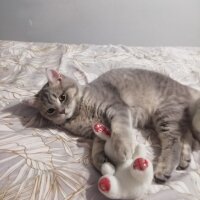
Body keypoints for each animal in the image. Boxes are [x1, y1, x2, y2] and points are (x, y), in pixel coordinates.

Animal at [25, 68, 200, 183]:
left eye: (62, 97)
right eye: (50, 110)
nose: (62, 112)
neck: (80, 111)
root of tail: (184, 87)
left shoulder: (117, 109)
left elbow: (121, 132)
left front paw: (123, 150)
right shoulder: (98, 130)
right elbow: (96, 150)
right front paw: (101, 161)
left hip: (165, 115)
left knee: (175, 142)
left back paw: (165, 169)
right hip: (171, 119)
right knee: (186, 137)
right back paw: (185, 159)